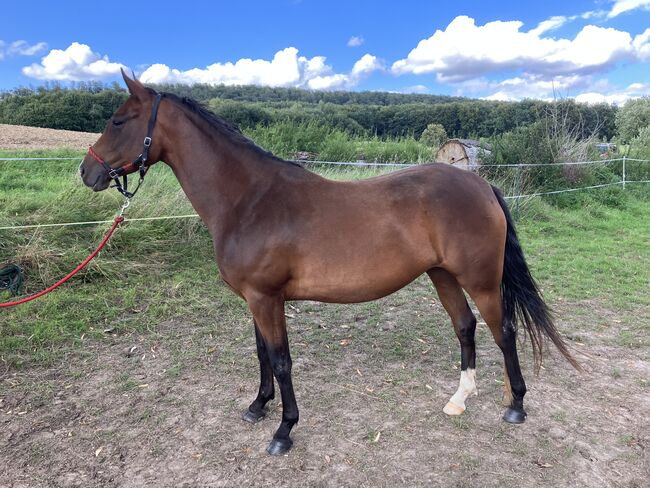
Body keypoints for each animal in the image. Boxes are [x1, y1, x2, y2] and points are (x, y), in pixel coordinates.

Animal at [78, 70, 576, 456]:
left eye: (118, 120)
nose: (87, 172)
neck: (250, 200)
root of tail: (482, 186)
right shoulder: (256, 299)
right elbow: (262, 353)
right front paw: (257, 407)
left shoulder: (266, 298)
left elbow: (281, 360)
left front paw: (283, 431)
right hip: (442, 276)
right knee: (465, 326)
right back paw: (459, 399)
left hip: (481, 279)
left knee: (503, 330)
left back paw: (515, 406)